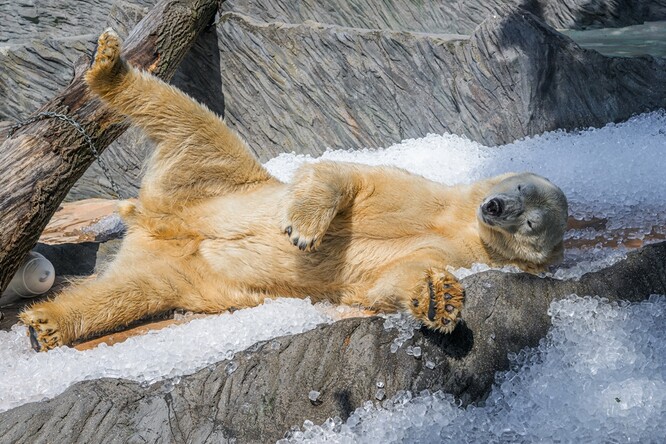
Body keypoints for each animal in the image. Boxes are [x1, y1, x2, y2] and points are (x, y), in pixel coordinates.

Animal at [18, 29, 564, 352]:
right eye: (520, 186)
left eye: (531, 222)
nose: (496, 207)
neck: (454, 220)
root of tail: (151, 222)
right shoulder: (418, 189)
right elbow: (345, 175)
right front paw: (304, 231)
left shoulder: (455, 251)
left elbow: (391, 280)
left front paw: (441, 298)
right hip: (210, 178)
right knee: (189, 121)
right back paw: (110, 66)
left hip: (182, 269)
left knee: (129, 292)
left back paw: (47, 325)